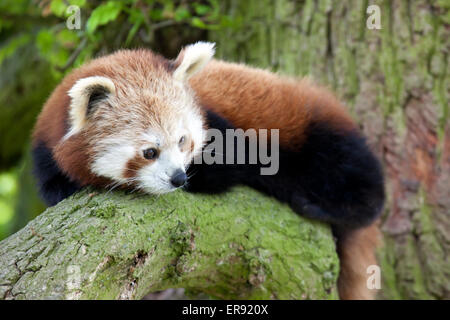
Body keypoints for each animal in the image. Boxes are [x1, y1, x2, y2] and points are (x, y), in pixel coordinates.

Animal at [31, 41, 384, 298]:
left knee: (359, 178)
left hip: (311, 128)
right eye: (149, 152)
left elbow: (234, 167)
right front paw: (66, 187)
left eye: (183, 140)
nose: (178, 178)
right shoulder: (44, 145)